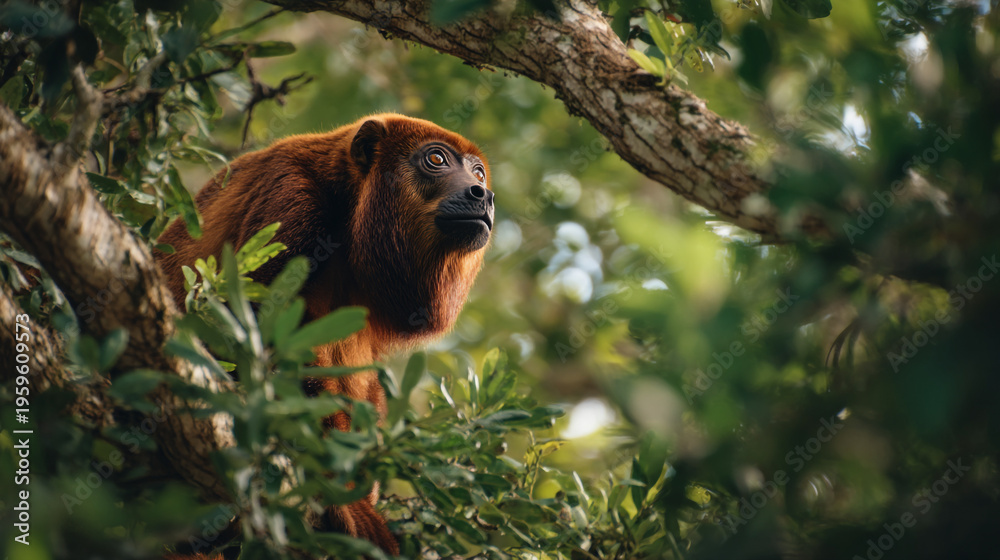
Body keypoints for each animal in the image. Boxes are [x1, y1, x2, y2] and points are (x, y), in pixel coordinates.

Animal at [154, 113, 494, 557]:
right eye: (436, 159)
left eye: (479, 172)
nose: (483, 194)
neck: (350, 203)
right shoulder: (290, 195)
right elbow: (252, 334)